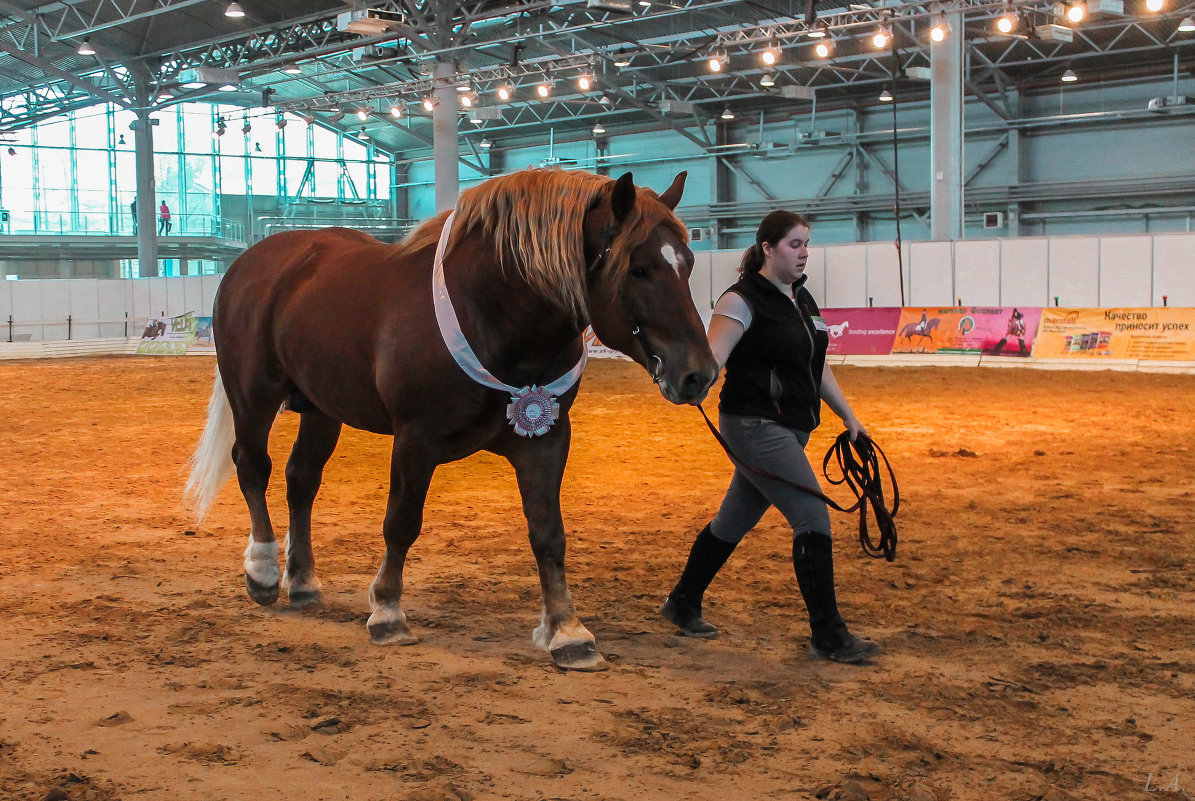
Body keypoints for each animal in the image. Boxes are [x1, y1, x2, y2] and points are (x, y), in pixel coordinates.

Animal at [181, 169, 712, 669]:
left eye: (687, 263)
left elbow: (548, 534)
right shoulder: (415, 441)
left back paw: (303, 580)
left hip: (321, 407)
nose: (699, 374)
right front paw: (388, 612)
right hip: (254, 395)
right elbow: (401, 523)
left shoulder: (545, 440)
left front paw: (567, 631)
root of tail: (251, 262)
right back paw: (263, 572)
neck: (489, 313)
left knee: (301, 479)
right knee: (253, 468)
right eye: (639, 269)